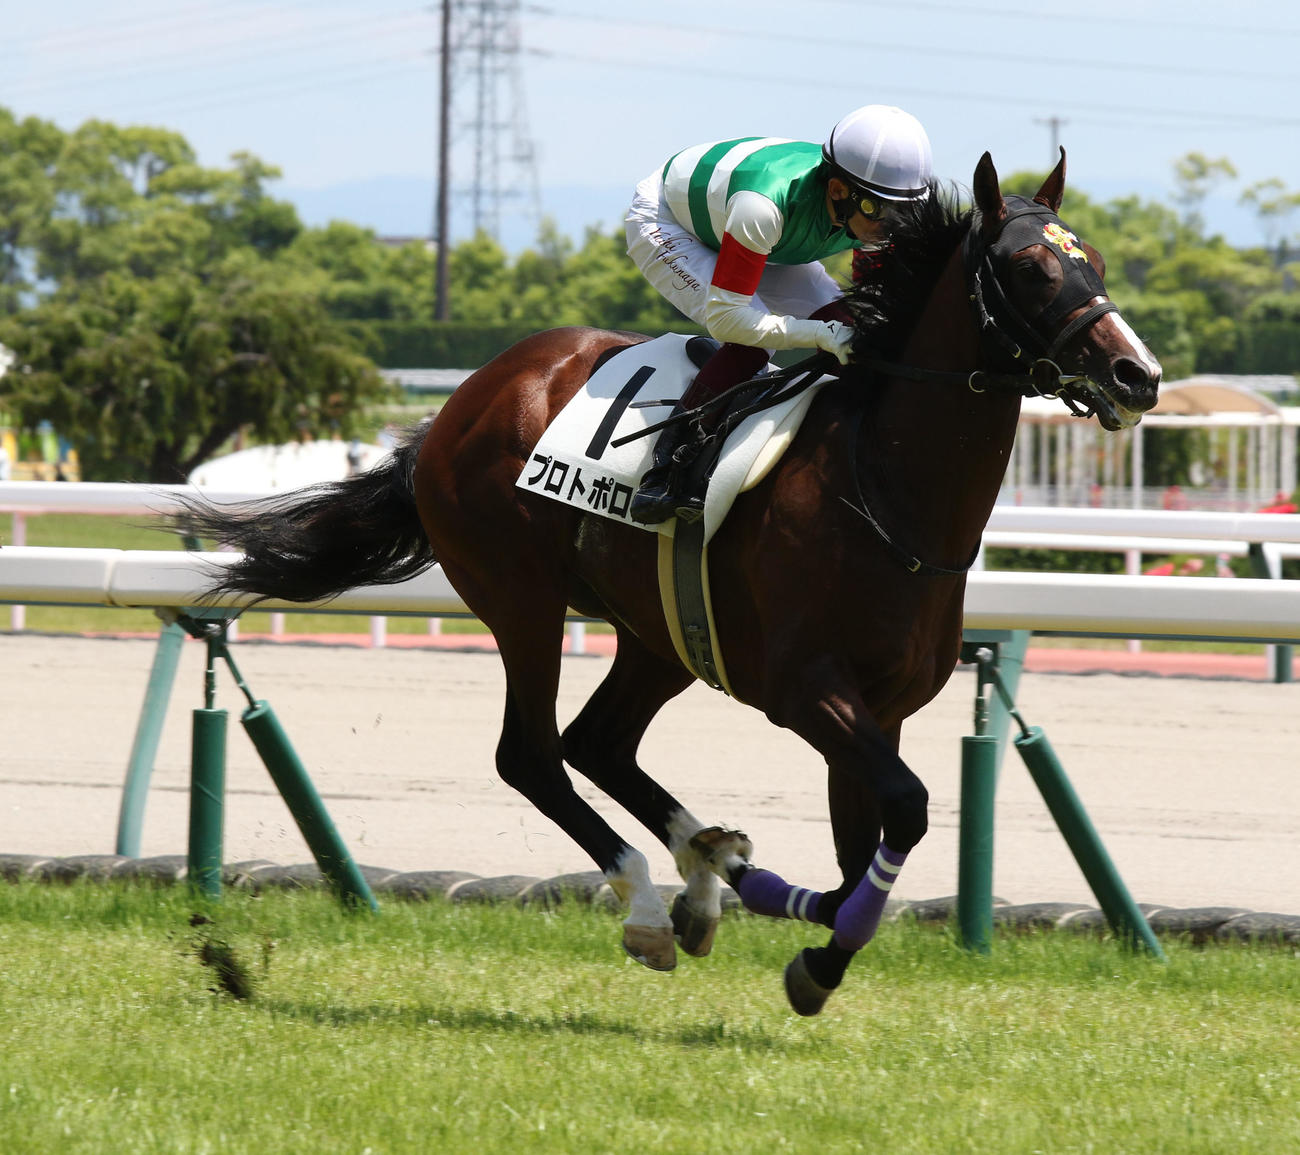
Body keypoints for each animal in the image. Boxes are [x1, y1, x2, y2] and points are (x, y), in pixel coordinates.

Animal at [173, 151, 1161, 1016]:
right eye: (1031, 267)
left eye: (1096, 261)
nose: (1136, 373)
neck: (885, 492)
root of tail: (461, 402)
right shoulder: (807, 690)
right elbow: (906, 812)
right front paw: (802, 943)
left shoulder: (880, 707)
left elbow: (864, 851)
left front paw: (795, 929)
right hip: (523, 598)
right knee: (531, 754)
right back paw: (653, 901)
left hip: (662, 633)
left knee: (597, 743)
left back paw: (706, 868)